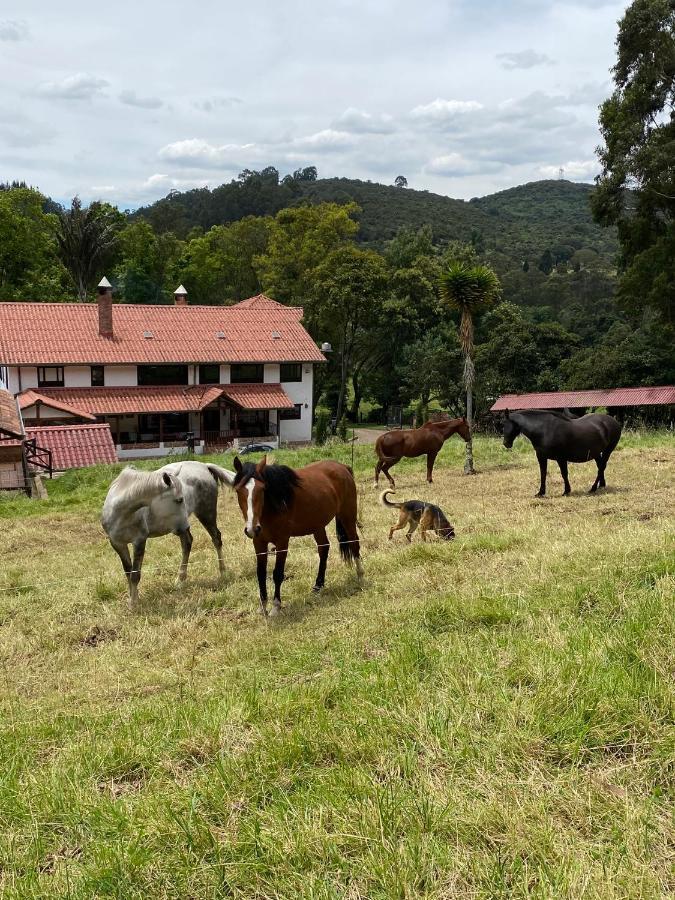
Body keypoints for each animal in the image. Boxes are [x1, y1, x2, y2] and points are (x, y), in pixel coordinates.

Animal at [101, 460, 235, 608]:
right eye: (179, 500)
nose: (185, 525)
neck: (122, 514)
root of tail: (204, 466)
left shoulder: (139, 541)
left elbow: (135, 575)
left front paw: (134, 604)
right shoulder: (117, 544)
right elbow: (128, 572)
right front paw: (133, 599)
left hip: (206, 513)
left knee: (216, 538)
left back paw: (223, 572)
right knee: (187, 543)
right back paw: (180, 580)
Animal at [231, 460, 362, 616]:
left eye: (262, 489)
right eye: (238, 490)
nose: (252, 528)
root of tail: (343, 467)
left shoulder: (282, 542)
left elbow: (277, 573)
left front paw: (275, 607)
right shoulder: (259, 543)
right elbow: (261, 574)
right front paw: (262, 607)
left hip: (347, 516)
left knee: (354, 542)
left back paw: (360, 576)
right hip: (317, 525)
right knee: (324, 548)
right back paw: (318, 585)